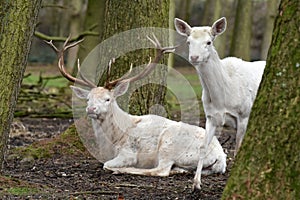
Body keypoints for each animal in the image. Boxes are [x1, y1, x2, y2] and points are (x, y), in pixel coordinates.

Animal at [45, 35, 226, 190]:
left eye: (107, 99)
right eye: (88, 98)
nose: (91, 109)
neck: (113, 140)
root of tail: (221, 157)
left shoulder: (128, 152)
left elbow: (106, 164)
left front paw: (120, 167)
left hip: (169, 144)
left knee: (161, 170)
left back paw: (126, 170)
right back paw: (179, 170)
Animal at [175, 17, 266, 188]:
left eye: (209, 42)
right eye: (189, 41)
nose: (194, 57)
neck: (221, 99)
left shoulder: (243, 115)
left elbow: (237, 148)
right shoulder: (210, 116)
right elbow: (203, 147)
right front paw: (196, 183)